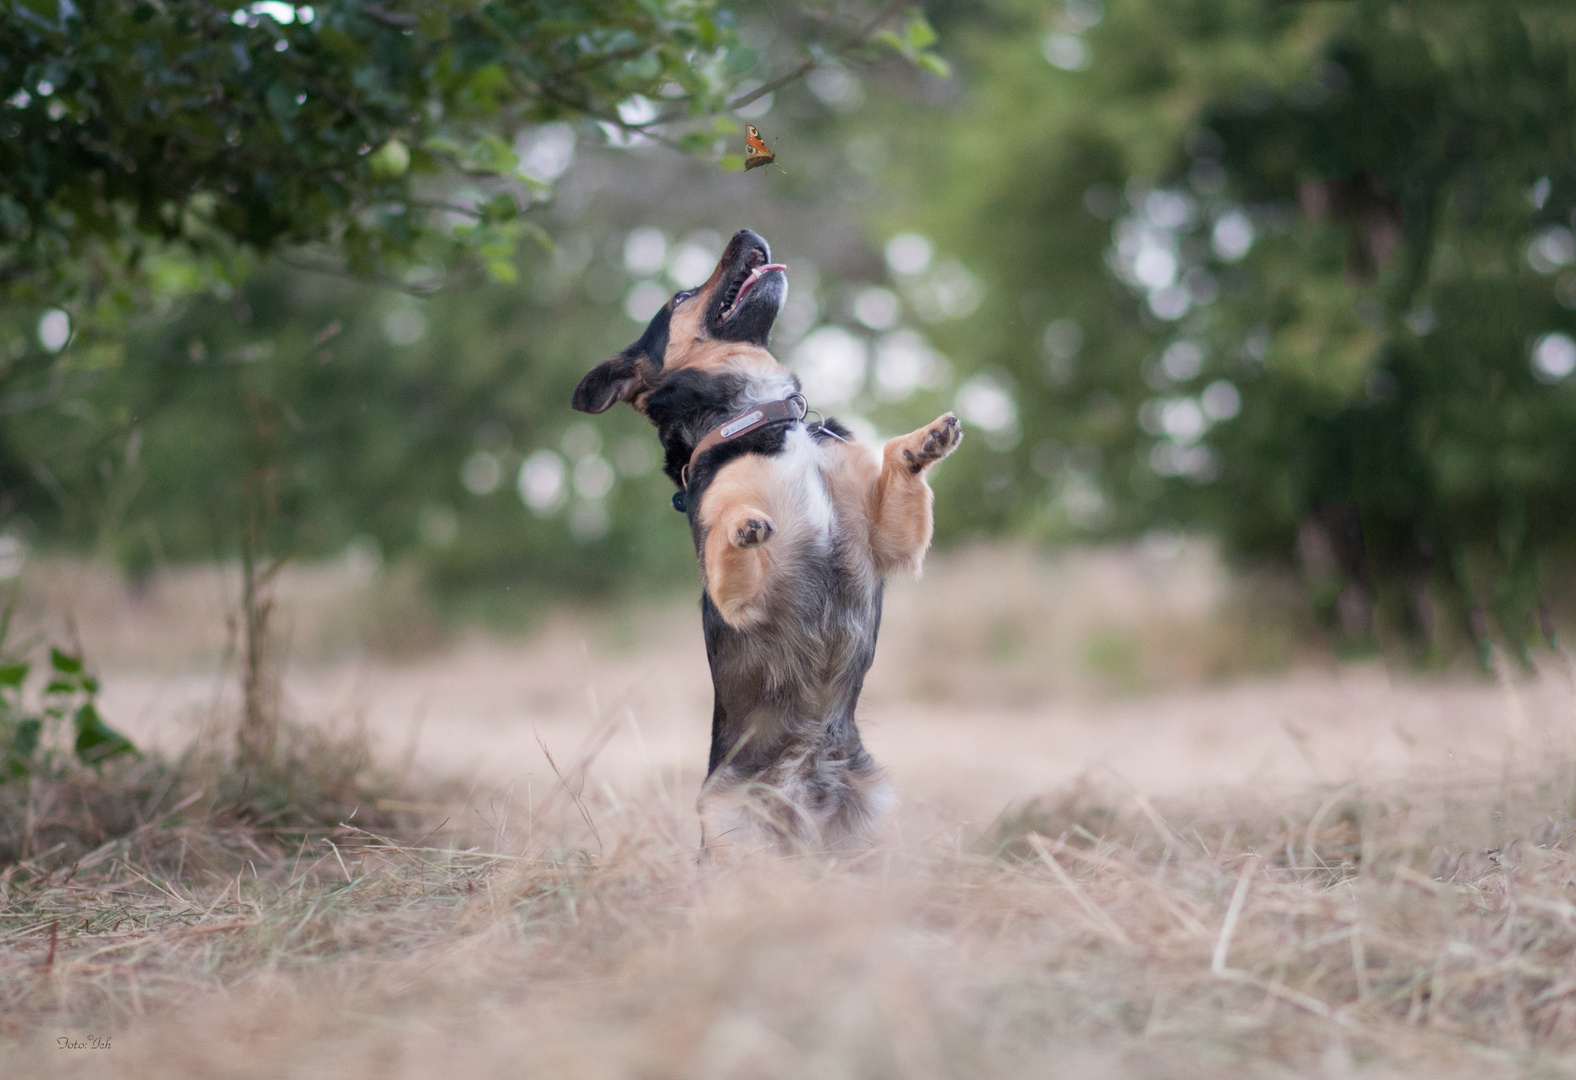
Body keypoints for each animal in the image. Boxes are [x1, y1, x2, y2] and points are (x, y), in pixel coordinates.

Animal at [570, 225, 958, 851]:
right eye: (681, 297)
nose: (746, 232)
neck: (763, 413)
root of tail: (807, 798)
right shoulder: (738, 591)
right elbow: (728, 532)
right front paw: (743, 524)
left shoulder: (890, 541)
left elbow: (896, 459)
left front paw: (926, 439)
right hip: (738, 837)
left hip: (870, 837)